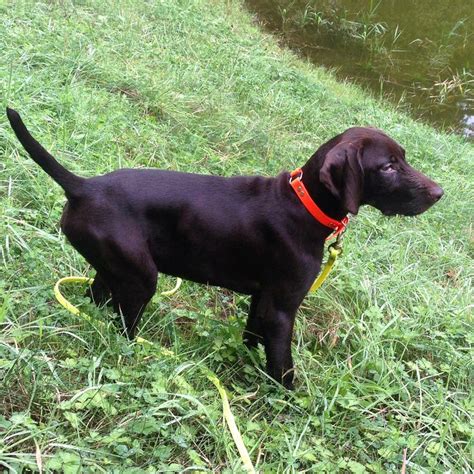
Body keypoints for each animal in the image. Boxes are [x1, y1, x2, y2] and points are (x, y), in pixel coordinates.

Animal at [7, 109, 442, 390]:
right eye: (387, 167)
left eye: (403, 159)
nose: (440, 193)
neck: (303, 205)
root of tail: (83, 186)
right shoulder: (282, 309)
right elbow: (283, 367)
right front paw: (290, 405)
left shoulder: (263, 301)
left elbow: (253, 341)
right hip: (140, 279)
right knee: (122, 327)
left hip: (115, 267)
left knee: (95, 302)